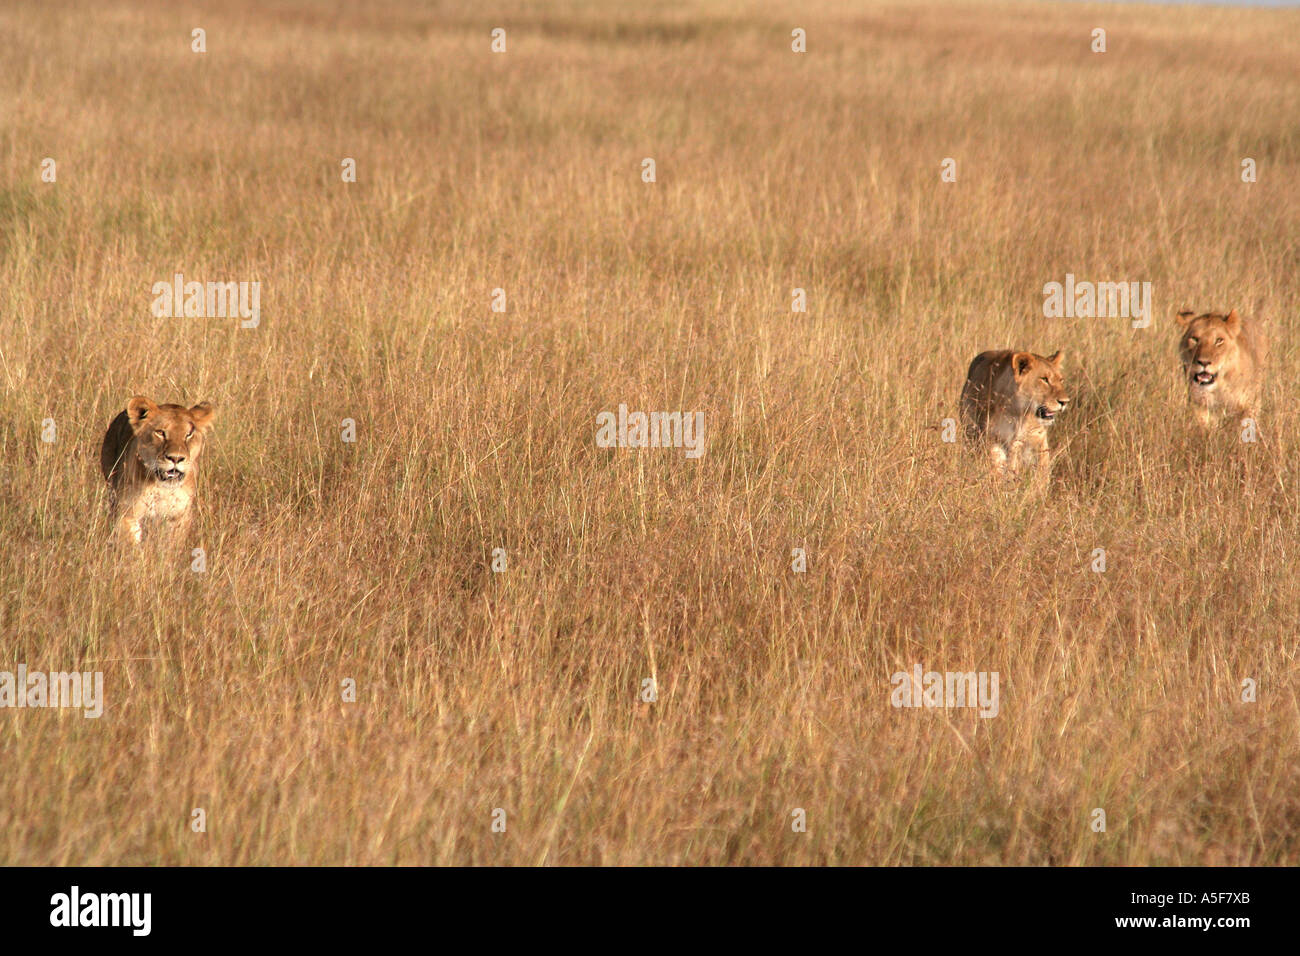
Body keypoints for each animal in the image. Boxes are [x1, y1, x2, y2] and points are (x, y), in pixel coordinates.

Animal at [99, 395, 215, 546]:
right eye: (160, 432)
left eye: (189, 434)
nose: (176, 458)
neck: (163, 489)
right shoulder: (127, 512)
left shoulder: (178, 517)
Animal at [961, 348, 1071, 481]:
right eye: (1044, 379)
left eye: (1061, 380)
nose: (1065, 402)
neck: (1019, 413)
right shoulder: (993, 439)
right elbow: (996, 467)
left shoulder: (1038, 438)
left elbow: (1042, 468)